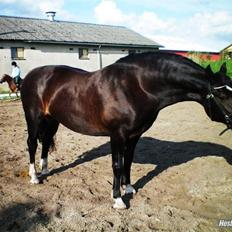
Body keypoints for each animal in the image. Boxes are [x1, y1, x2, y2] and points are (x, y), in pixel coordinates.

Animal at [19, 52, 232, 208]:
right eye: (221, 94)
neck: (137, 86)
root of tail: (31, 76)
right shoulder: (117, 135)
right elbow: (117, 164)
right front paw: (118, 199)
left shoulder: (135, 135)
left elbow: (127, 162)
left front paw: (128, 188)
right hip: (34, 117)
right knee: (32, 143)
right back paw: (34, 177)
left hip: (52, 120)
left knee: (46, 141)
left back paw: (45, 170)